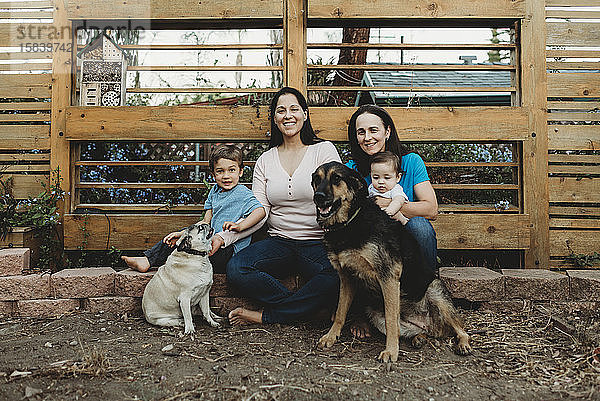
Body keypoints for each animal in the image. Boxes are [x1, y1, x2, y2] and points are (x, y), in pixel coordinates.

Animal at [312, 161, 472, 360]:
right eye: (316, 179)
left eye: (336, 179)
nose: (318, 197)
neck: (349, 221)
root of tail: (430, 324)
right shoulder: (346, 277)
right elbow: (341, 311)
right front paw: (331, 336)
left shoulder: (388, 276)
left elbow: (391, 320)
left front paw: (391, 351)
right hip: (376, 313)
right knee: (420, 330)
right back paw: (419, 338)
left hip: (435, 291)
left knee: (461, 328)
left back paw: (463, 343)